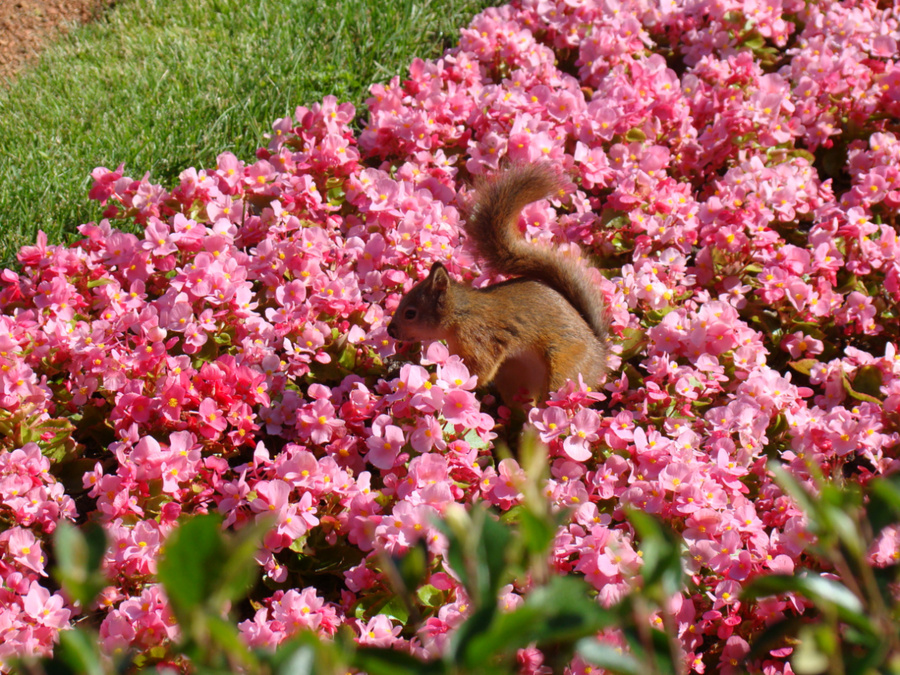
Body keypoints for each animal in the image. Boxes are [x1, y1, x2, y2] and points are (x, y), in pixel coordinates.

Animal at [386, 165, 612, 406]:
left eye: (410, 313)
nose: (391, 331)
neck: (459, 315)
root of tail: (600, 353)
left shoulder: (479, 338)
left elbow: (478, 370)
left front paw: (432, 378)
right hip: (514, 375)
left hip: (566, 368)